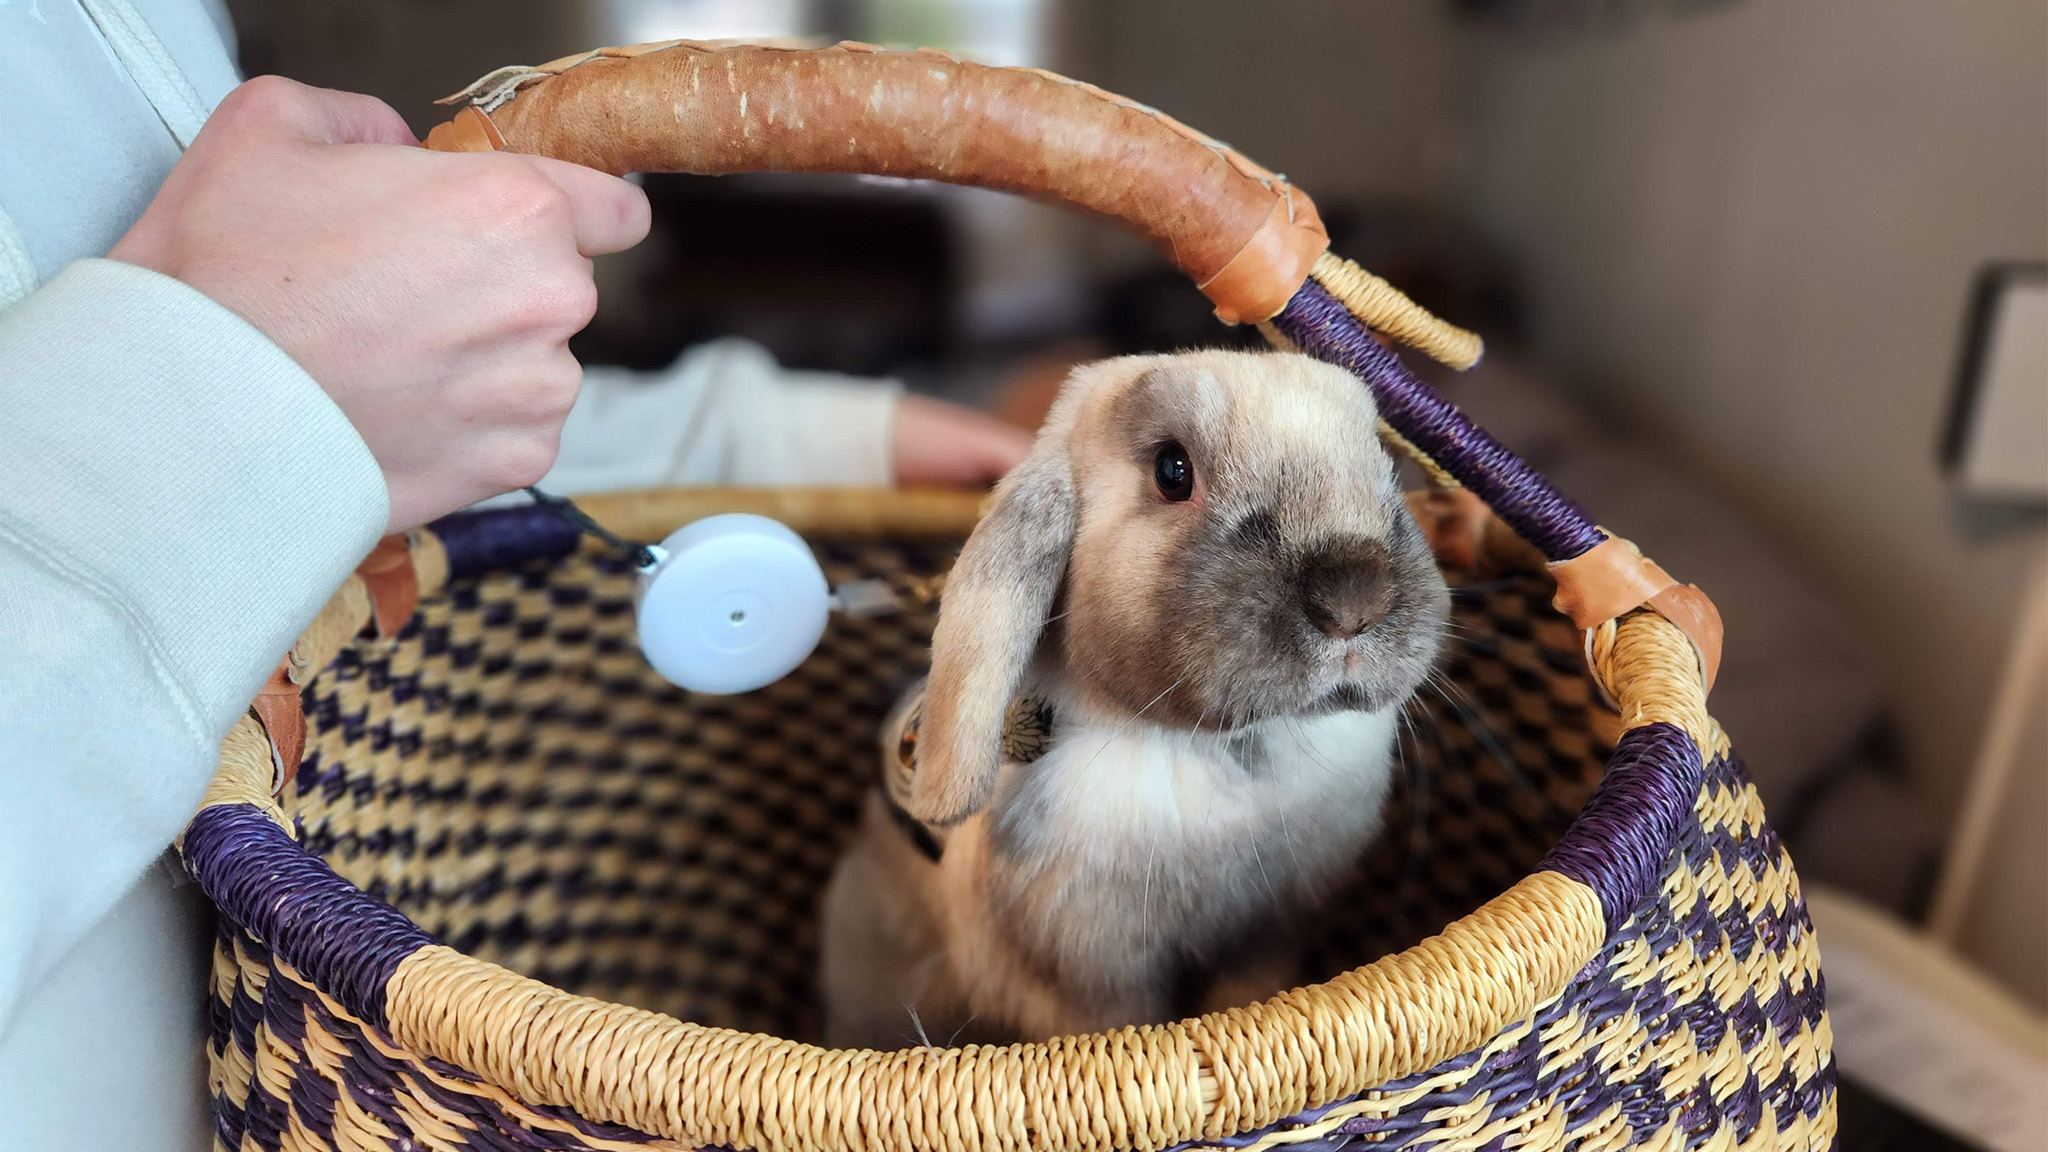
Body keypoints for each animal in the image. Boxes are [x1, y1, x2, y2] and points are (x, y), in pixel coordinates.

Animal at [823, 348, 1449, 1041]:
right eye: (1172, 471)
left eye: (1383, 459)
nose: (1354, 603)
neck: (1220, 749)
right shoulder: (1091, 979)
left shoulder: (1268, 936)